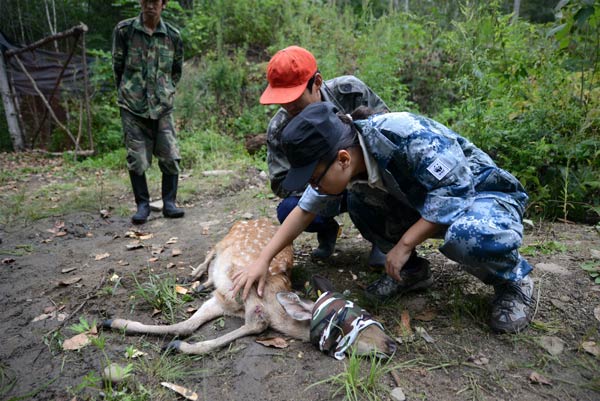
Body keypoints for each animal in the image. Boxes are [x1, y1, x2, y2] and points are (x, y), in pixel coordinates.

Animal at [104, 219, 398, 356]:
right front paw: (112, 322)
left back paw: (203, 282)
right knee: (212, 249)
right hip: (226, 237)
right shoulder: (237, 291)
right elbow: (257, 323)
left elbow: (187, 326)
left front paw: (174, 344)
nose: (392, 344)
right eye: (346, 321)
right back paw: (197, 274)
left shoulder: (223, 301)